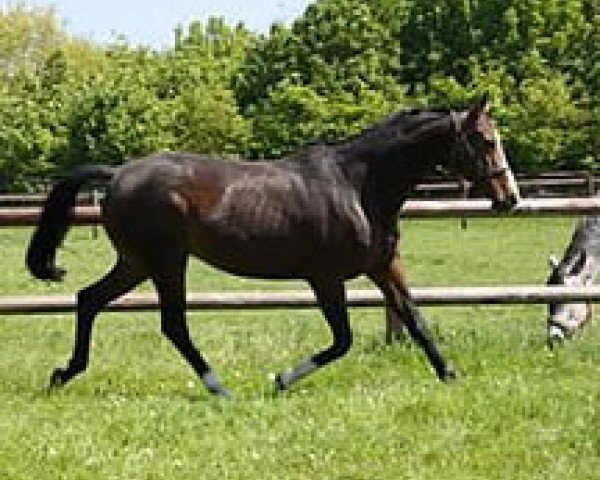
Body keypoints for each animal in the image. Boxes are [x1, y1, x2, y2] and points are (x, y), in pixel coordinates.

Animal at [25, 93, 516, 394]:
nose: (509, 198)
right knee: (173, 325)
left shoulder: (383, 265)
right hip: (166, 261)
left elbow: (415, 318)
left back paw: (64, 373)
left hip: (137, 262)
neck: (357, 187)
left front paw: (449, 374)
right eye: (485, 140)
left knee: (89, 300)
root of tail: (117, 174)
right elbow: (342, 340)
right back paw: (220, 388)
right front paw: (280, 379)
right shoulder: (325, 278)